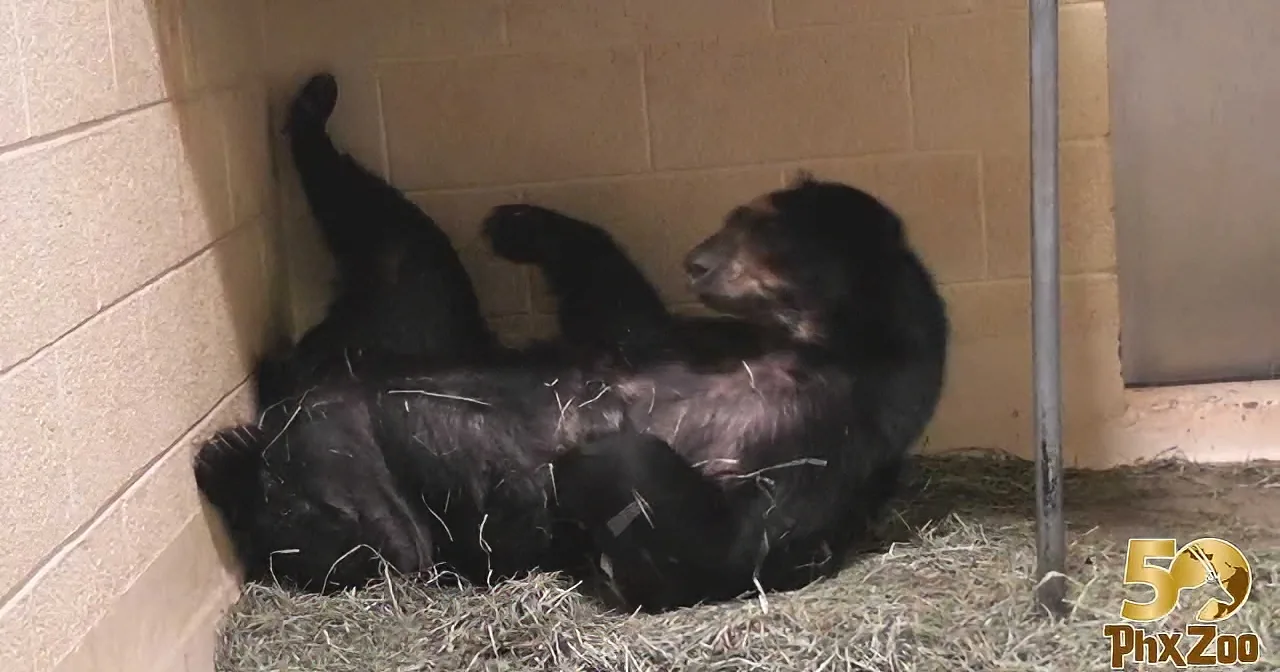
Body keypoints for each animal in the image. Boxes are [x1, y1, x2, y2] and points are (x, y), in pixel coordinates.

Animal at [192, 72, 951, 613]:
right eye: (737, 215)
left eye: (757, 229)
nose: (697, 259)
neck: (810, 348)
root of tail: (301, 382)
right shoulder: (676, 342)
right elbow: (616, 305)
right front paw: (519, 223)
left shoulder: (820, 447)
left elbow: (708, 547)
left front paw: (595, 449)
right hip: (403, 334)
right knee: (403, 249)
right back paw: (313, 107)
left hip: (365, 470)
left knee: (368, 538)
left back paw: (227, 459)